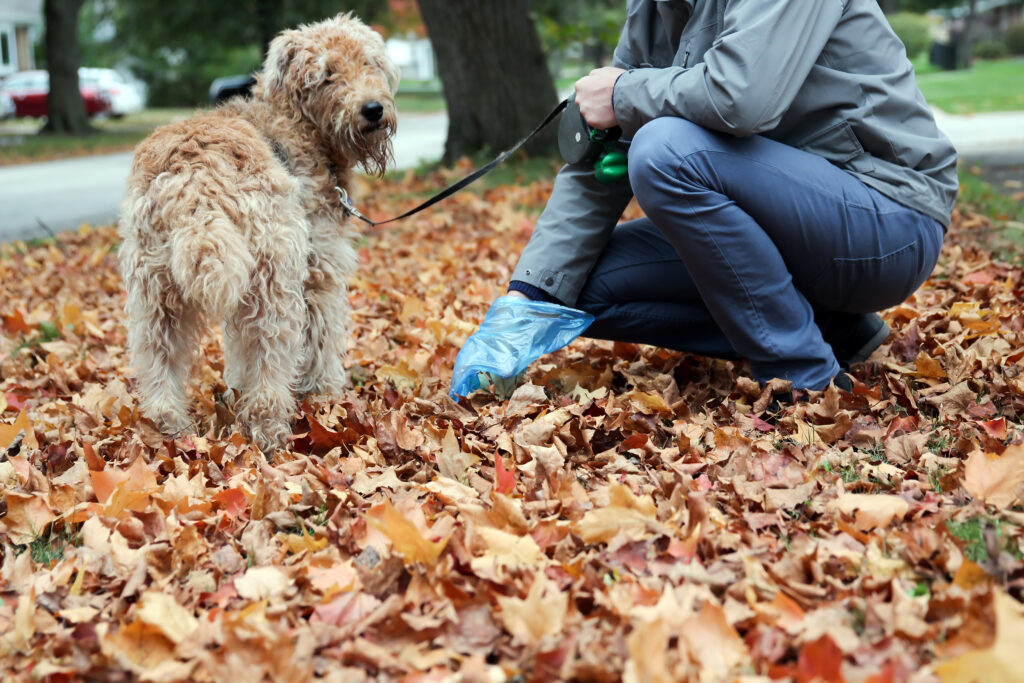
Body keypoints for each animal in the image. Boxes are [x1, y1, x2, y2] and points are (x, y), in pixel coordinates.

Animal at [116, 13, 395, 450]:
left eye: (369, 62)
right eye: (327, 74)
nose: (373, 109)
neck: (297, 123)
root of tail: (195, 177)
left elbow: (238, 351)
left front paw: (236, 389)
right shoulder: (319, 273)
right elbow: (321, 340)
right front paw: (325, 394)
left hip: (156, 291)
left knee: (159, 361)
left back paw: (170, 428)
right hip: (274, 281)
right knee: (271, 359)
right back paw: (271, 430)